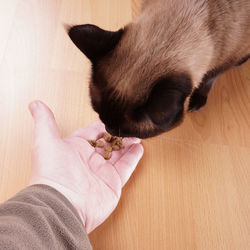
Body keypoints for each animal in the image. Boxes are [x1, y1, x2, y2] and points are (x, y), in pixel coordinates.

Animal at [68, 0, 250, 139]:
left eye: (126, 132)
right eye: (100, 116)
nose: (108, 130)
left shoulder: (228, 58)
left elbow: (209, 78)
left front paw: (197, 101)